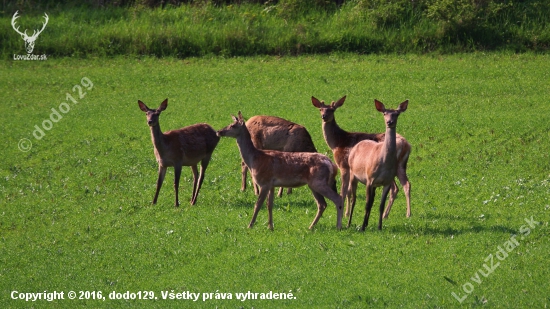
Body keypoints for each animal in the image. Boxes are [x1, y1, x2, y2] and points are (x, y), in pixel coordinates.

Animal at [350, 100, 410, 230]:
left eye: (396, 114)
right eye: (384, 113)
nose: (389, 122)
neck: (384, 164)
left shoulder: (386, 182)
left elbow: (380, 205)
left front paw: (379, 227)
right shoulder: (369, 179)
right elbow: (367, 204)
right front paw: (362, 228)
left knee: (372, 199)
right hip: (353, 174)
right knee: (354, 199)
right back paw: (348, 223)